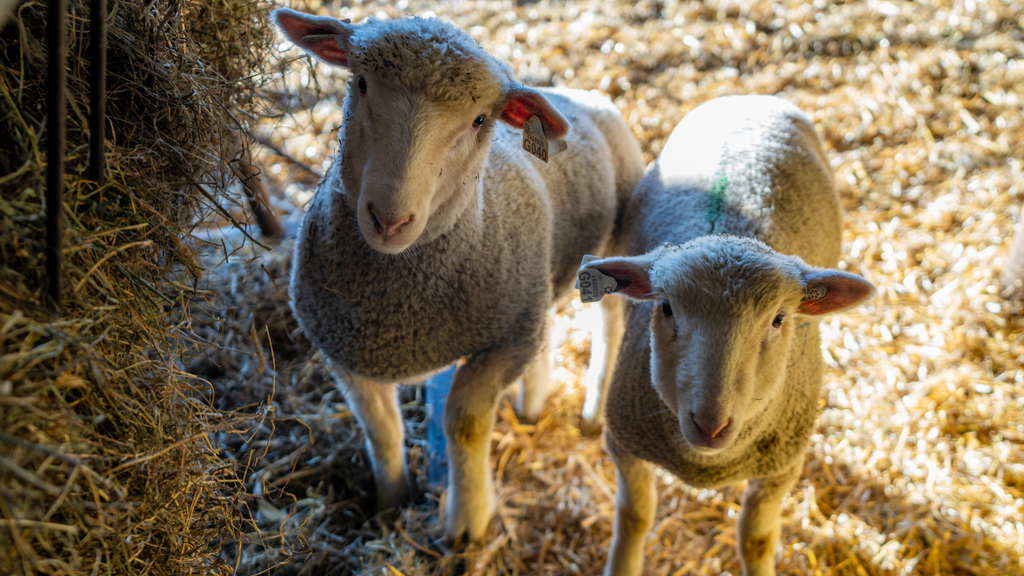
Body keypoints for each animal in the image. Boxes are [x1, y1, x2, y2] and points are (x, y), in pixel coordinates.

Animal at [272, 6, 638, 541]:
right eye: (360, 83)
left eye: (480, 119)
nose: (389, 220)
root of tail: (584, 93)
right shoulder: (342, 348)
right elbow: (381, 430)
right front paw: (390, 502)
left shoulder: (505, 340)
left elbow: (464, 423)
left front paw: (467, 523)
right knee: (549, 325)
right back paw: (532, 404)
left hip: (609, 250)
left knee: (609, 325)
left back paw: (593, 410)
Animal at [581, 95, 876, 573]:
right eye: (666, 308)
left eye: (778, 320)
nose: (710, 424)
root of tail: (749, 97)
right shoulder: (625, 444)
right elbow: (634, 517)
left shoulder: (781, 469)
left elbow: (755, 540)